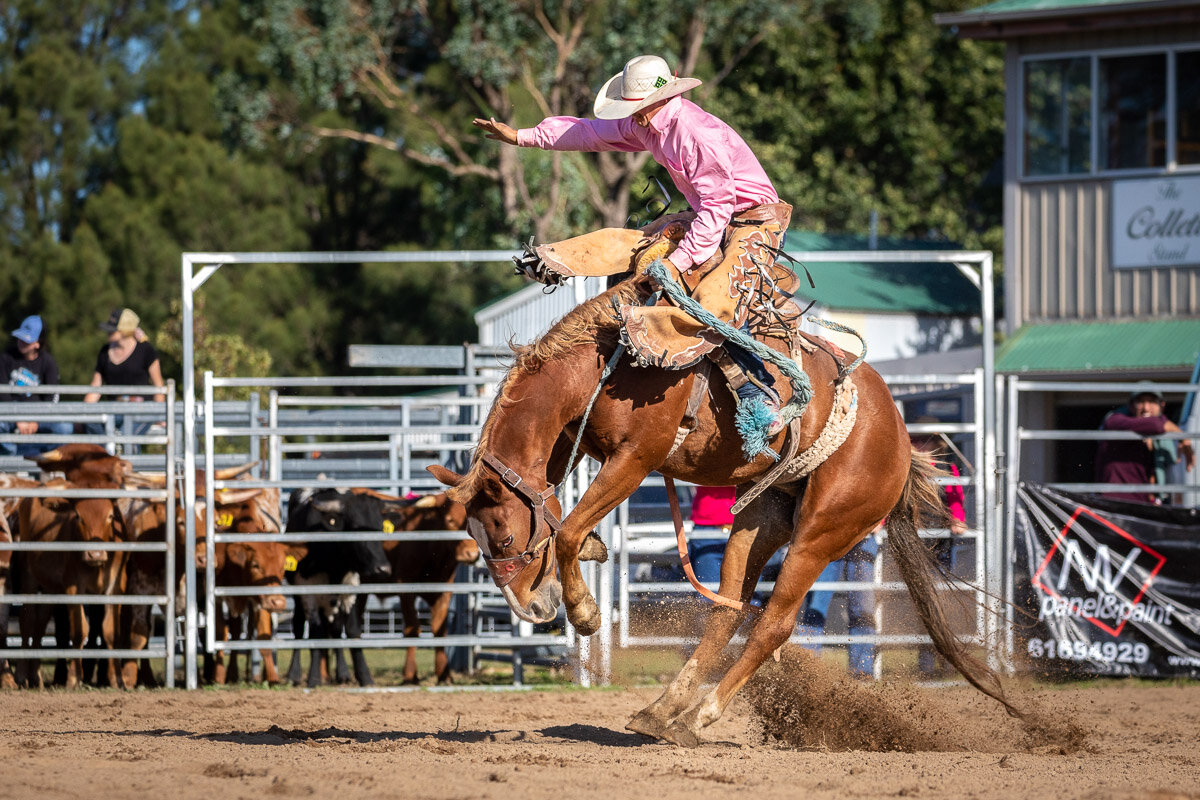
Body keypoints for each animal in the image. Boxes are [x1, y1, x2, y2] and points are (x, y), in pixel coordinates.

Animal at [283, 489, 391, 690]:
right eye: (355, 528)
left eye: (380, 527)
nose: (383, 569)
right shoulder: (310, 592)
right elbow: (315, 632)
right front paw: (314, 679)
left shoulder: (351, 591)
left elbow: (353, 631)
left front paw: (365, 677)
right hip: (300, 596)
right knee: (299, 627)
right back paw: (293, 676)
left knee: (335, 629)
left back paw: (342, 674)